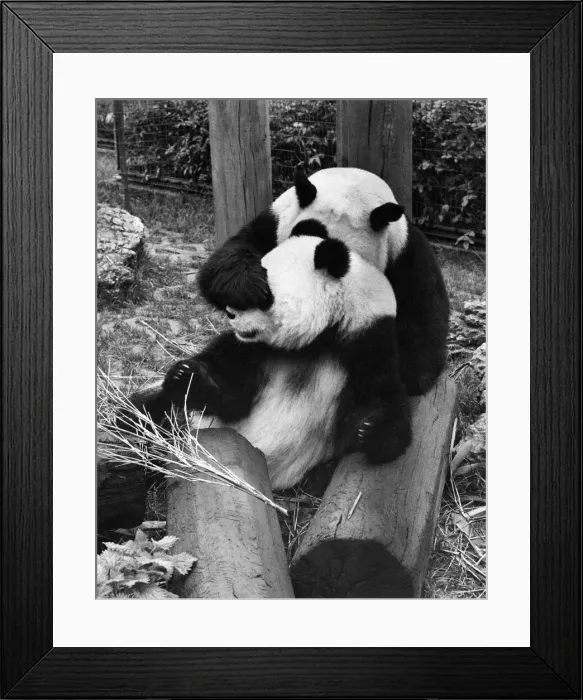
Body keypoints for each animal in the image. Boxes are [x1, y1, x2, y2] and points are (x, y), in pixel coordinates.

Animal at [129, 232, 411, 490]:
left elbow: (382, 398)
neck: (318, 339)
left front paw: (371, 430)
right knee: (145, 410)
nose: (230, 313)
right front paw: (188, 378)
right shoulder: (250, 350)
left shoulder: (366, 340)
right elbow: (233, 397)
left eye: (265, 296)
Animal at [198, 167, 450, 396]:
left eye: (338, 252)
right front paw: (250, 288)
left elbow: (422, 326)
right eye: (303, 230)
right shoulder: (273, 222)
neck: (350, 180)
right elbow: (228, 258)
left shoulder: (405, 253)